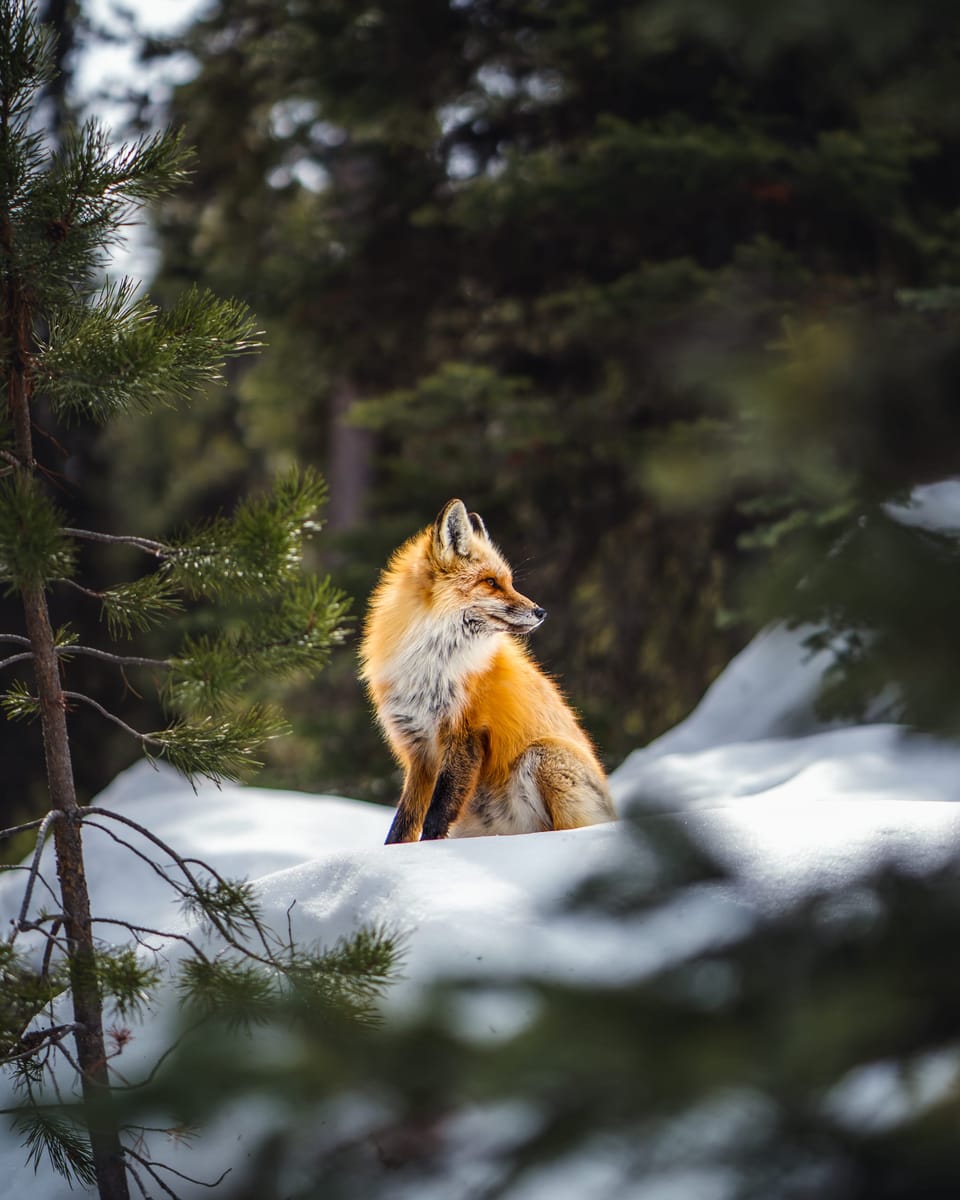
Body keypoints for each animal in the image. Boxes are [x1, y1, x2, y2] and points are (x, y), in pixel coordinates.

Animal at [360, 498, 616, 843]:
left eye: (508, 581)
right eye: (491, 582)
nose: (541, 612)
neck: (430, 666)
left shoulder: (466, 733)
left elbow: (436, 815)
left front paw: (429, 851)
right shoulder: (419, 750)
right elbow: (405, 821)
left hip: (544, 755)